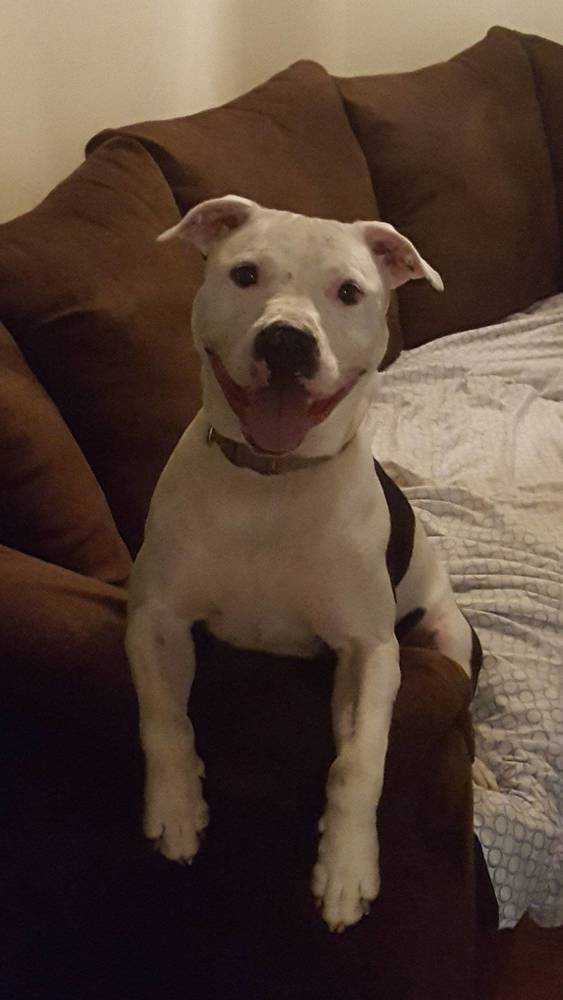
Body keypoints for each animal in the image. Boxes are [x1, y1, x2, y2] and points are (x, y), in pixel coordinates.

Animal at [124, 199, 494, 932]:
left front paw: (347, 868)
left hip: (445, 636)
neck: (273, 485)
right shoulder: (156, 618)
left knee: (463, 701)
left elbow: (360, 762)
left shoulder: (369, 652)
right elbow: (164, 718)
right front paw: (176, 809)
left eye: (348, 292)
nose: (287, 341)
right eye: (244, 274)